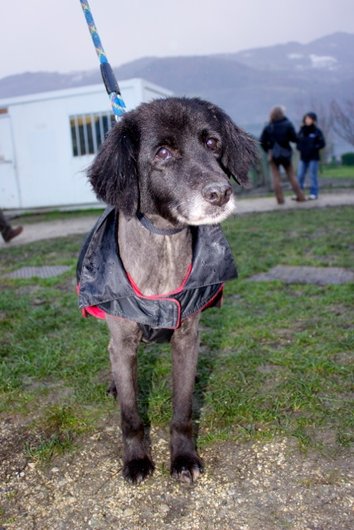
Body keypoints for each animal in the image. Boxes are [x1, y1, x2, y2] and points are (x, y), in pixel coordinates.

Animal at [76, 96, 256, 482]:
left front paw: (184, 457)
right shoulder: (123, 340)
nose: (220, 193)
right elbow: (130, 416)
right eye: (162, 152)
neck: (164, 250)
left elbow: (183, 411)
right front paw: (136, 460)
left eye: (212, 142)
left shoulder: (187, 337)